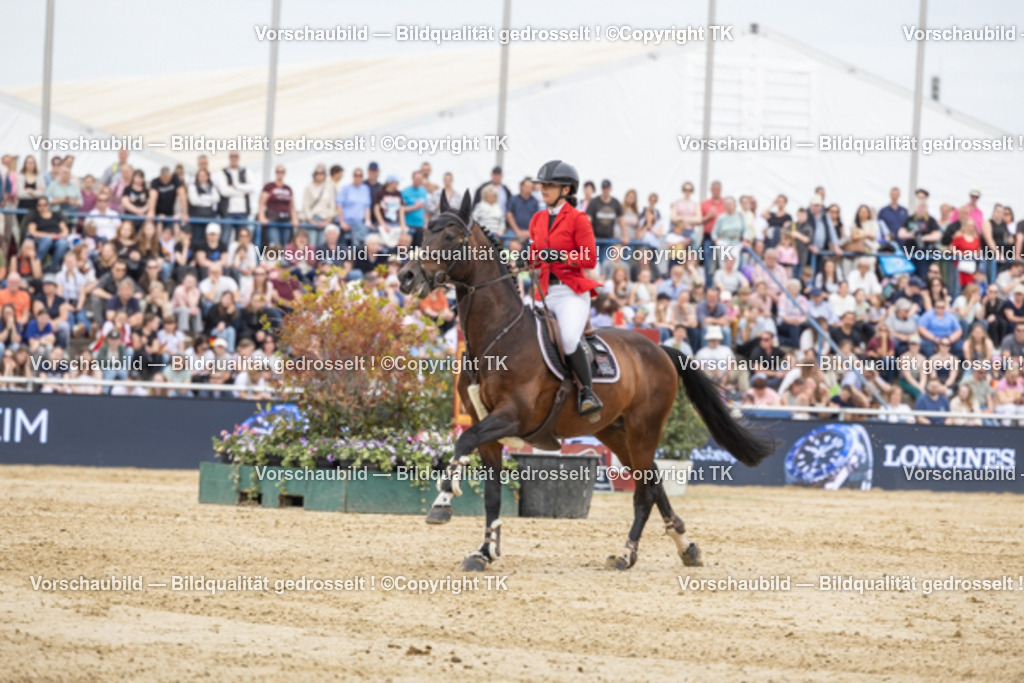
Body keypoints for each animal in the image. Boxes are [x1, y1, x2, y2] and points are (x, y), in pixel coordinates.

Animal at [397, 190, 773, 571]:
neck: (497, 338)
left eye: (449, 236)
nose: (407, 275)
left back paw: (627, 554)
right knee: (653, 482)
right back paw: (685, 546)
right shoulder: (487, 427)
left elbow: (463, 442)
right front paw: (484, 552)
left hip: (643, 429)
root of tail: (659, 348)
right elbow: (489, 493)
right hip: (615, 432)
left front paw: (443, 502)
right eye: (424, 233)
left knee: (645, 490)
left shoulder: (511, 416)